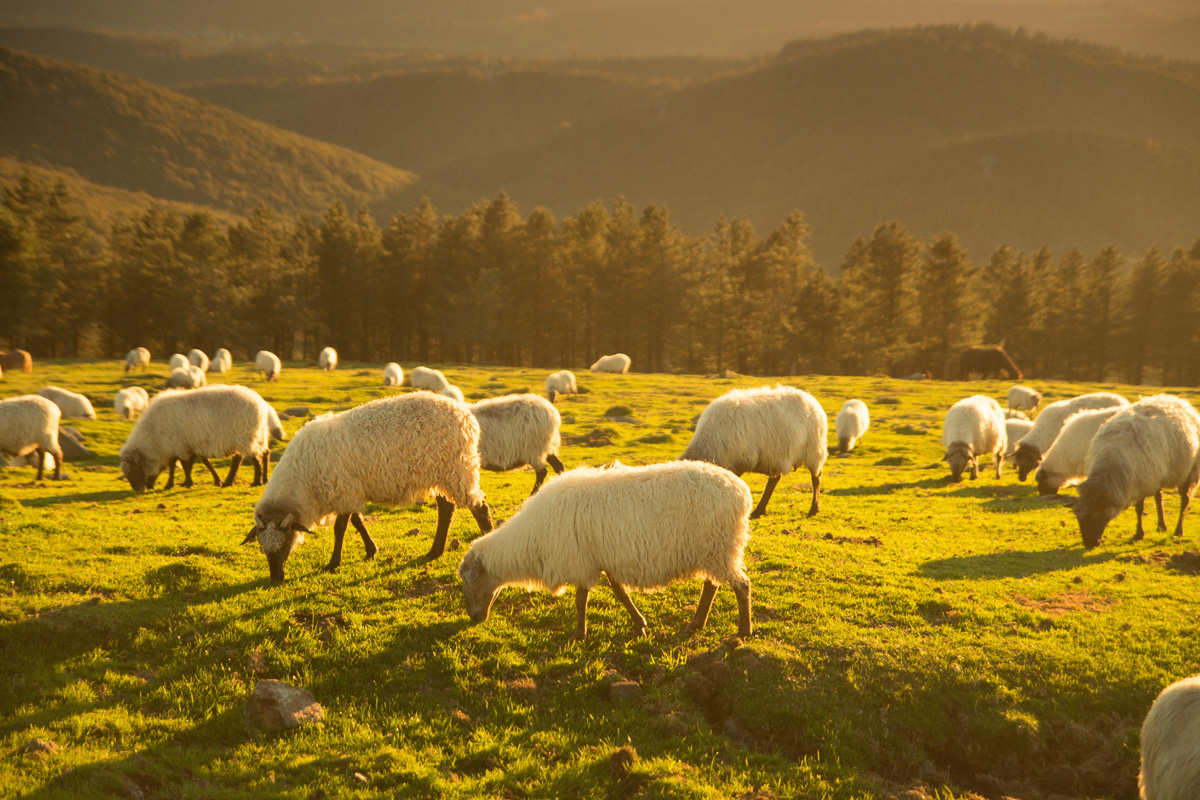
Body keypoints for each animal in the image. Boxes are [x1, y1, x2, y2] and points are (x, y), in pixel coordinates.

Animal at [118, 383, 274, 491]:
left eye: (135, 469)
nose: (139, 490)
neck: (154, 439)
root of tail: (259, 403)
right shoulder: (190, 444)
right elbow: (193, 463)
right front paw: (187, 482)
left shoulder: (177, 444)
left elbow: (177, 464)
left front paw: (175, 484)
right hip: (257, 434)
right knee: (262, 453)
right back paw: (261, 479)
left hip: (245, 436)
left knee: (252, 457)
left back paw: (254, 481)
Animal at [241, 393, 494, 582]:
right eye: (262, 549)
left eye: (284, 545)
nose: (276, 578)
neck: (303, 480)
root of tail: (466, 415)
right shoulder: (352, 491)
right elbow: (357, 521)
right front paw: (371, 550)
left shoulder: (344, 490)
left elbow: (340, 528)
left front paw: (333, 563)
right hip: (439, 473)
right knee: (446, 509)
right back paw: (433, 552)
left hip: (457, 468)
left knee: (479, 506)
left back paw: (485, 540)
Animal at [456, 460, 748, 642]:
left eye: (469, 582)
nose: (474, 618)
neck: (530, 538)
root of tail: (740, 490)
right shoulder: (600, 558)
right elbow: (619, 592)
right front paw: (640, 625)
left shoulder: (579, 562)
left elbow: (581, 600)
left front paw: (578, 634)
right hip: (714, 550)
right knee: (712, 585)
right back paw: (697, 623)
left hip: (720, 547)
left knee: (741, 586)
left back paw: (744, 631)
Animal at [681, 386, 830, 520]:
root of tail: (809, 397)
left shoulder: (740, 461)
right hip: (776, 455)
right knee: (774, 479)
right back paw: (759, 510)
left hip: (814, 451)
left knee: (816, 478)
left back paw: (813, 510)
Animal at [1070, 395, 1200, 551]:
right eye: (1078, 518)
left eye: (1097, 516)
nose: (1090, 544)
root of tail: (1179, 400)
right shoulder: (1140, 481)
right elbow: (1140, 508)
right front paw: (1139, 534)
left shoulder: (1139, 482)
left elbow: (1139, 508)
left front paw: (1139, 534)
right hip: (1156, 475)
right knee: (1159, 497)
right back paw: (1161, 526)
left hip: (1191, 470)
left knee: (1184, 500)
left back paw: (1178, 531)